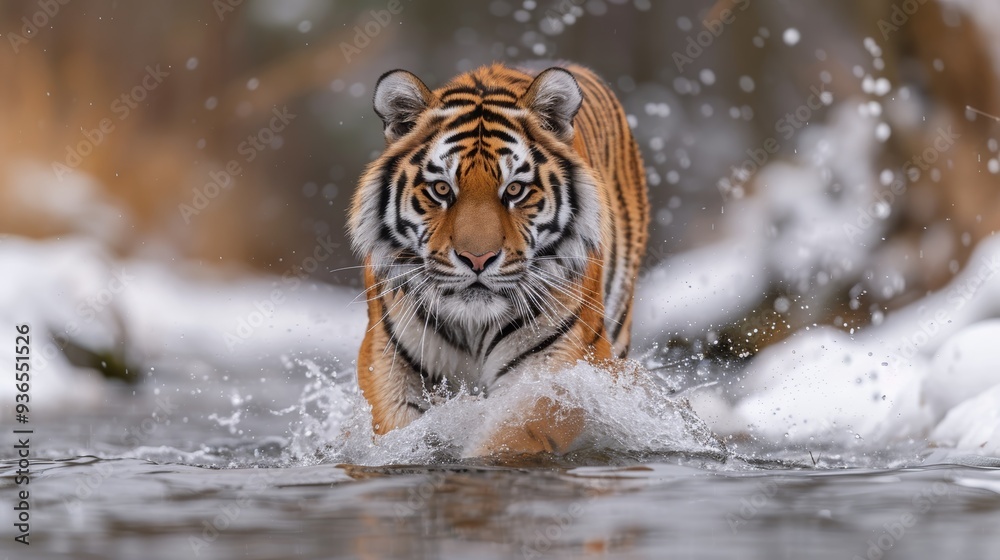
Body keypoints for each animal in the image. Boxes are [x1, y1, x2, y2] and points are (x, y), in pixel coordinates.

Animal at [347, 62, 649, 456]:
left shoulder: (560, 363)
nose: (478, 259)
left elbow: (517, 433)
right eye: (441, 189)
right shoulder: (387, 356)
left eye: (515, 190)